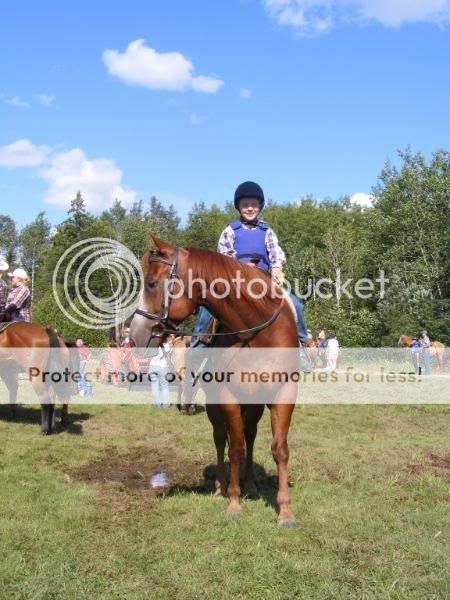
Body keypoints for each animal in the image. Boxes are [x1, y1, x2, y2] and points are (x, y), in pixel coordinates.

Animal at [129, 234, 298, 524]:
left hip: (254, 403)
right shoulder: (228, 397)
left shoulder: (284, 393)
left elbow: (279, 449)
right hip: (214, 402)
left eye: (151, 283)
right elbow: (234, 449)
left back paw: (251, 485)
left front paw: (285, 510)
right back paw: (221, 488)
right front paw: (234, 502)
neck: (255, 334)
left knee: (249, 435)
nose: (134, 335)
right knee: (221, 438)